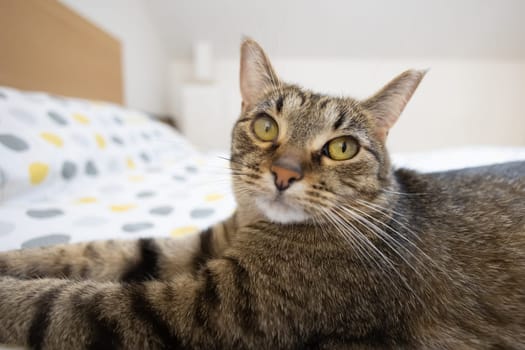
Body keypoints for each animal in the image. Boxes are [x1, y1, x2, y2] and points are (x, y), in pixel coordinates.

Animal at [1, 39, 524, 350]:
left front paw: (10, 292)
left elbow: (61, 303)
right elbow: (97, 251)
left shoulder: (207, 313)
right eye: (266, 126)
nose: (284, 173)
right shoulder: (201, 246)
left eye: (342, 147)